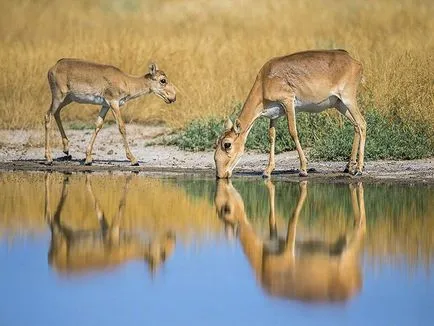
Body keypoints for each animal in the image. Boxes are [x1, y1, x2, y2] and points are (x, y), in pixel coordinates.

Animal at [45, 59, 176, 166]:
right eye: (163, 80)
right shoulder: (114, 103)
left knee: (56, 113)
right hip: (59, 96)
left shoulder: (105, 105)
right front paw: (133, 159)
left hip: (68, 98)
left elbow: (98, 124)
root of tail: (53, 68)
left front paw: (88, 158)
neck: (126, 81)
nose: (173, 97)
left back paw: (66, 149)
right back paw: (49, 158)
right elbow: (122, 127)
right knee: (48, 115)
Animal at [214, 49, 366, 178]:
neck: (264, 82)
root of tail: (356, 62)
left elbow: (293, 132)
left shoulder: (288, 102)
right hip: (339, 104)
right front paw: (267, 170)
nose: (220, 175)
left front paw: (303, 168)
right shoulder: (274, 115)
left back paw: (359, 169)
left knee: (362, 123)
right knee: (355, 125)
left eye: (227, 144)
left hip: (348, 98)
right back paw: (349, 166)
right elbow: (272, 136)